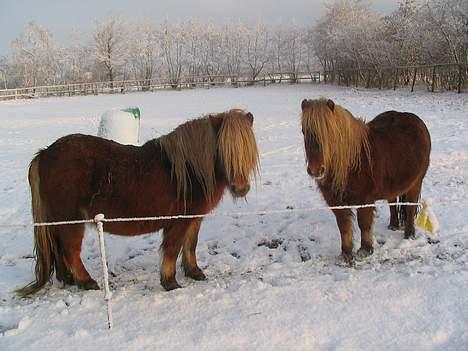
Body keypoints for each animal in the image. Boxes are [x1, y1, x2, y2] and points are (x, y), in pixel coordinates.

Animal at [17, 108, 260, 296]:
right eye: (225, 151)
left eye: (248, 151)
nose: (241, 188)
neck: (189, 171)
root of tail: (44, 154)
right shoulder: (178, 222)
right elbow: (172, 249)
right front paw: (170, 282)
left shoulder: (193, 219)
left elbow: (190, 245)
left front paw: (194, 272)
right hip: (71, 222)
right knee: (70, 251)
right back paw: (87, 282)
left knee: (59, 250)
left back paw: (68, 279)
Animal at [302, 97, 430, 262]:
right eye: (303, 131)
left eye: (329, 132)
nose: (315, 170)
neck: (352, 163)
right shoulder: (336, 203)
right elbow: (344, 227)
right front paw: (346, 254)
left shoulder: (365, 200)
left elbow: (364, 224)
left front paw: (365, 250)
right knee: (392, 203)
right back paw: (393, 225)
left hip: (416, 183)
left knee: (410, 207)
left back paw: (409, 235)